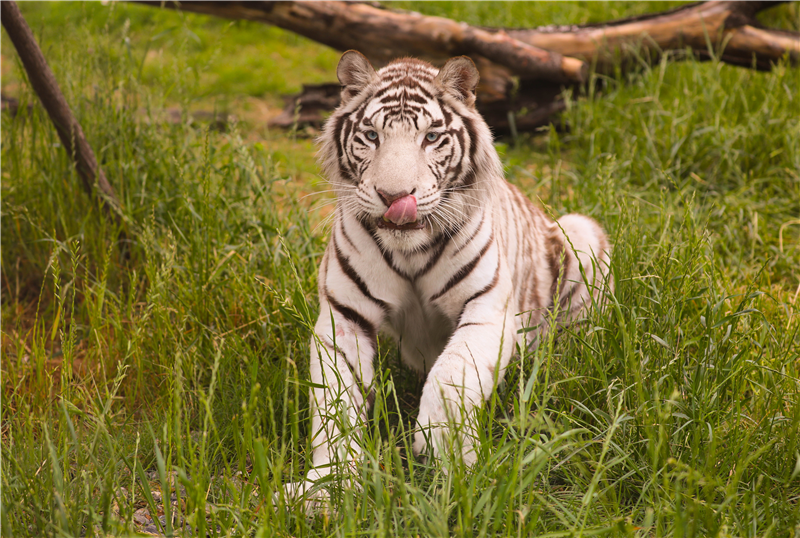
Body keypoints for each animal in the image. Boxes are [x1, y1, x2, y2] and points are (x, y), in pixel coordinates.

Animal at [288, 50, 612, 502]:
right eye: (370, 135)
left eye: (430, 137)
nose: (394, 197)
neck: (409, 249)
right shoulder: (343, 318)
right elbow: (333, 405)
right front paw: (325, 487)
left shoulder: (488, 311)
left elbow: (450, 375)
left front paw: (445, 454)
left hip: (581, 232)